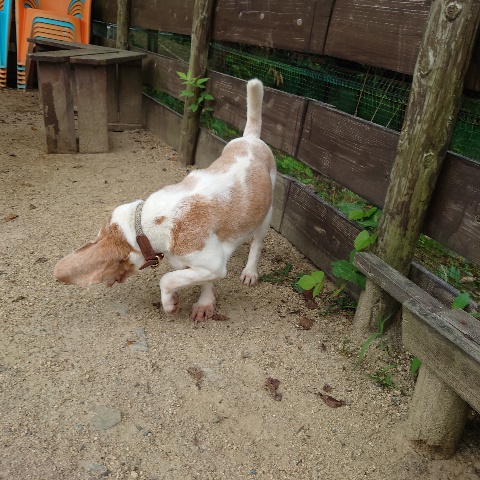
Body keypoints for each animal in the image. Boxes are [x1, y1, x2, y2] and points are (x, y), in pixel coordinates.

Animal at [54, 79, 276, 321]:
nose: (107, 283)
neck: (147, 224)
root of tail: (250, 139)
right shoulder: (198, 267)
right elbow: (200, 281)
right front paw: (205, 303)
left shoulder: (213, 265)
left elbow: (167, 279)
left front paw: (170, 304)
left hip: (266, 215)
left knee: (257, 243)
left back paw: (250, 272)